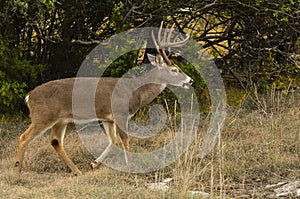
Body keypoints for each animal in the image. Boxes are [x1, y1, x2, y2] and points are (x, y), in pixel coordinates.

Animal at [13, 21, 192, 176]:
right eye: (174, 70)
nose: (190, 80)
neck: (134, 90)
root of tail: (28, 96)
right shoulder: (120, 112)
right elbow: (125, 139)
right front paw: (131, 166)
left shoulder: (108, 118)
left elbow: (113, 140)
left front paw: (94, 163)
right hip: (43, 116)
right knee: (24, 137)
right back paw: (17, 171)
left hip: (61, 120)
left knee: (56, 141)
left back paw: (77, 171)